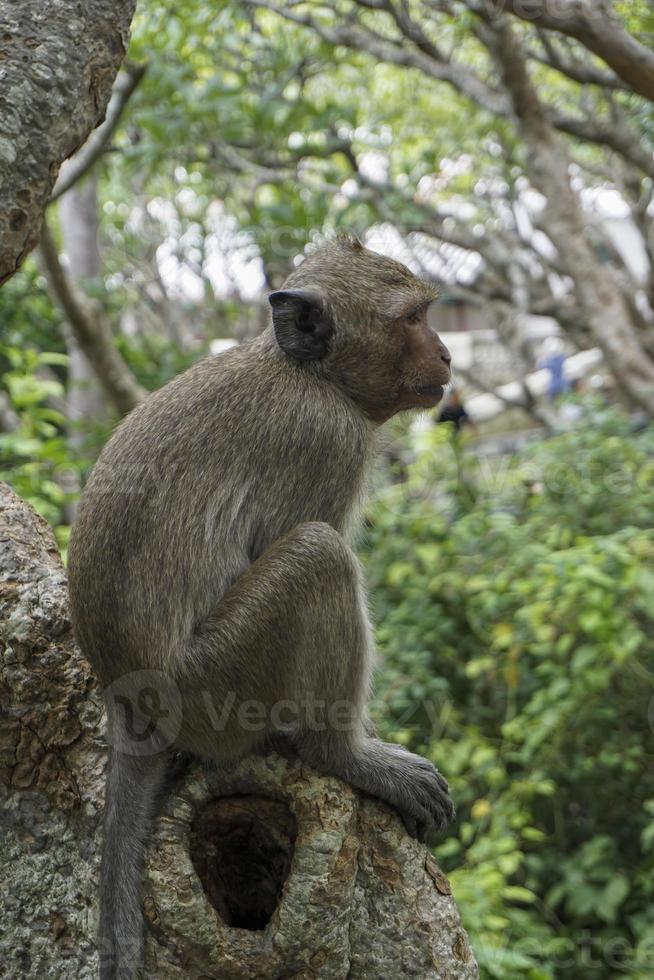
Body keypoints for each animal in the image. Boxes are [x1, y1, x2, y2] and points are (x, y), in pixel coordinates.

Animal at [66, 234, 456, 976]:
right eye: (412, 319)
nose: (448, 355)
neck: (312, 375)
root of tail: (130, 701)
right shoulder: (329, 439)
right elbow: (302, 538)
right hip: (218, 684)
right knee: (317, 557)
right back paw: (344, 754)